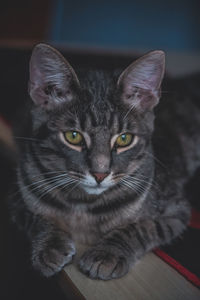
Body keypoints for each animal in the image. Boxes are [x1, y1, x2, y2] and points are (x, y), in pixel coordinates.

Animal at [9, 42, 198, 282]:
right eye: (73, 136)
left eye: (124, 139)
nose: (100, 174)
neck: (83, 204)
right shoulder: (16, 198)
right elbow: (36, 218)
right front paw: (50, 244)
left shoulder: (177, 209)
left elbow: (141, 227)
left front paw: (108, 252)